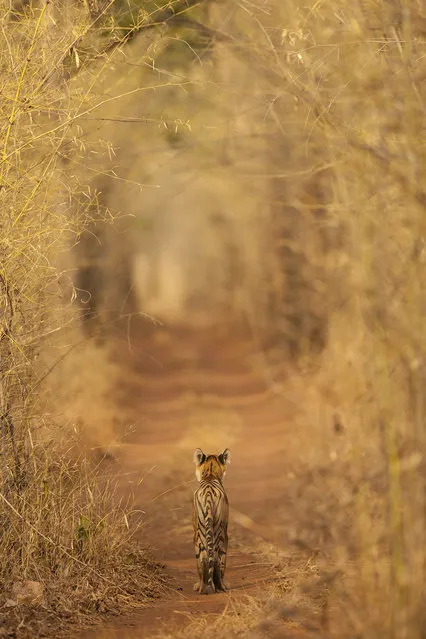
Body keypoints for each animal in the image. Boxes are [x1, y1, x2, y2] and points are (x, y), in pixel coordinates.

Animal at [192, 450, 230, 596]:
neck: (210, 474)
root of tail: (208, 493)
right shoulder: (225, 532)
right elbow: (223, 559)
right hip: (219, 530)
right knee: (217, 559)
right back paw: (220, 586)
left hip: (200, 531)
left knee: (202, 559)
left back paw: (204, 588)